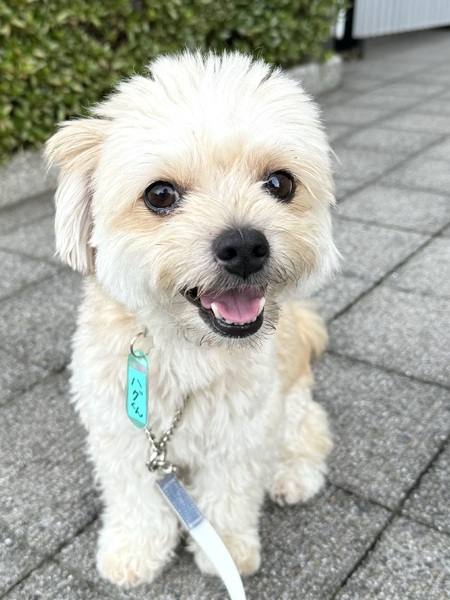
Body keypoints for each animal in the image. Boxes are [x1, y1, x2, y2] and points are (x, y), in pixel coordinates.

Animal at [45, 51, 338, 588]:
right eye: (160, 195)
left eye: (280, 183)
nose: (244, 245)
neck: (186, 346)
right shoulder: (123, 438)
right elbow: (135, 500)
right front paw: (134, 551)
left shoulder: (243, 435)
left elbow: (230, 499)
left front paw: (228, 552)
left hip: (290, 408)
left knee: (310, 434)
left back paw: (291, 477)